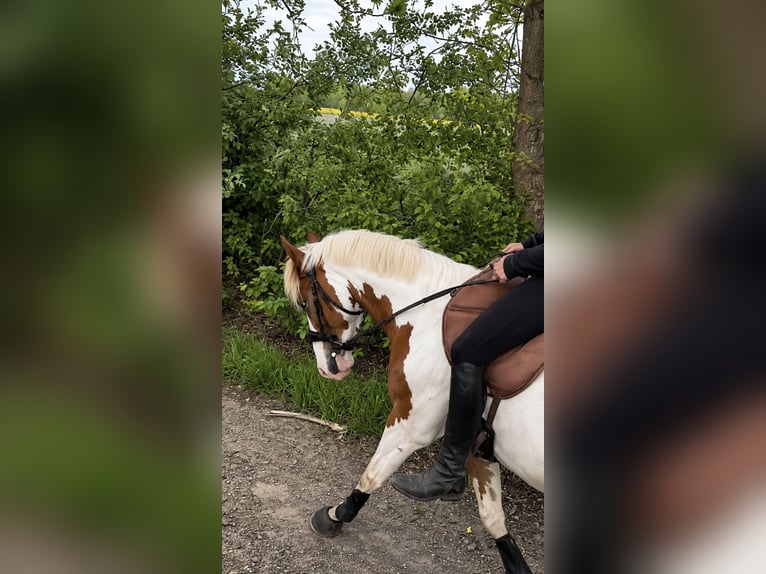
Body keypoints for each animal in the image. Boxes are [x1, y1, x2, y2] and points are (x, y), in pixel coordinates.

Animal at [281, 229, 544, 573]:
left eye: (305, 302)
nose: (327, 368)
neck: (426, 314)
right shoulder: (478, 443)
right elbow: (493, 518)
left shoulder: (410, 422)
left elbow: (373, 474)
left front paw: (336, 515)